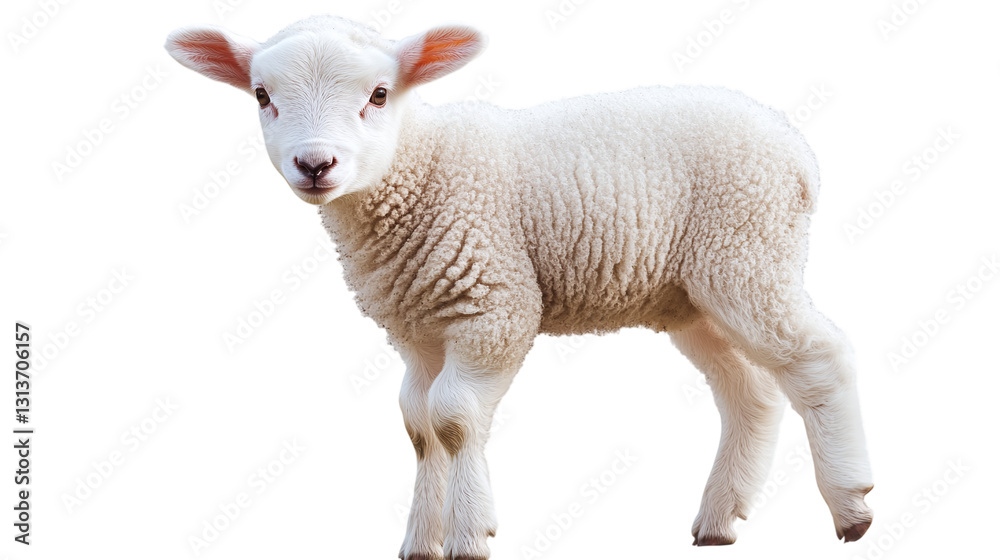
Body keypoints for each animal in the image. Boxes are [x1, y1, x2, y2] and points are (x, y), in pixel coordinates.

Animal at [165, 15, 874, 558]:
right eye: (262, 94)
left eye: (379, 94)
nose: (315, 164)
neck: (420, 167)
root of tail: (797, 151)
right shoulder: (417, 331)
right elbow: (417, 424)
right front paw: (421, 542)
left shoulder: (495, 307)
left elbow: (453, 418)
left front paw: (469, 536)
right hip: (694, 297)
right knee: (750, 392)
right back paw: (720, 521)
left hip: (748, 254)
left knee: (820, 357)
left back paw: (852, 508)